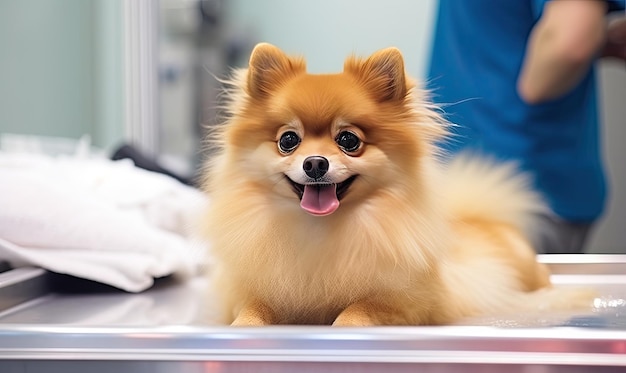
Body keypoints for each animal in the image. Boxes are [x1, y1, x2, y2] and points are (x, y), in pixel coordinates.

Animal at [201, 42, 584, 324]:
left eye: (349, 140)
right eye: (288, 140)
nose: (315, 163)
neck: (320, 231)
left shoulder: (413, 303)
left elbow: (358, 309)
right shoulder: (253, 293)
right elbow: (251, 311)